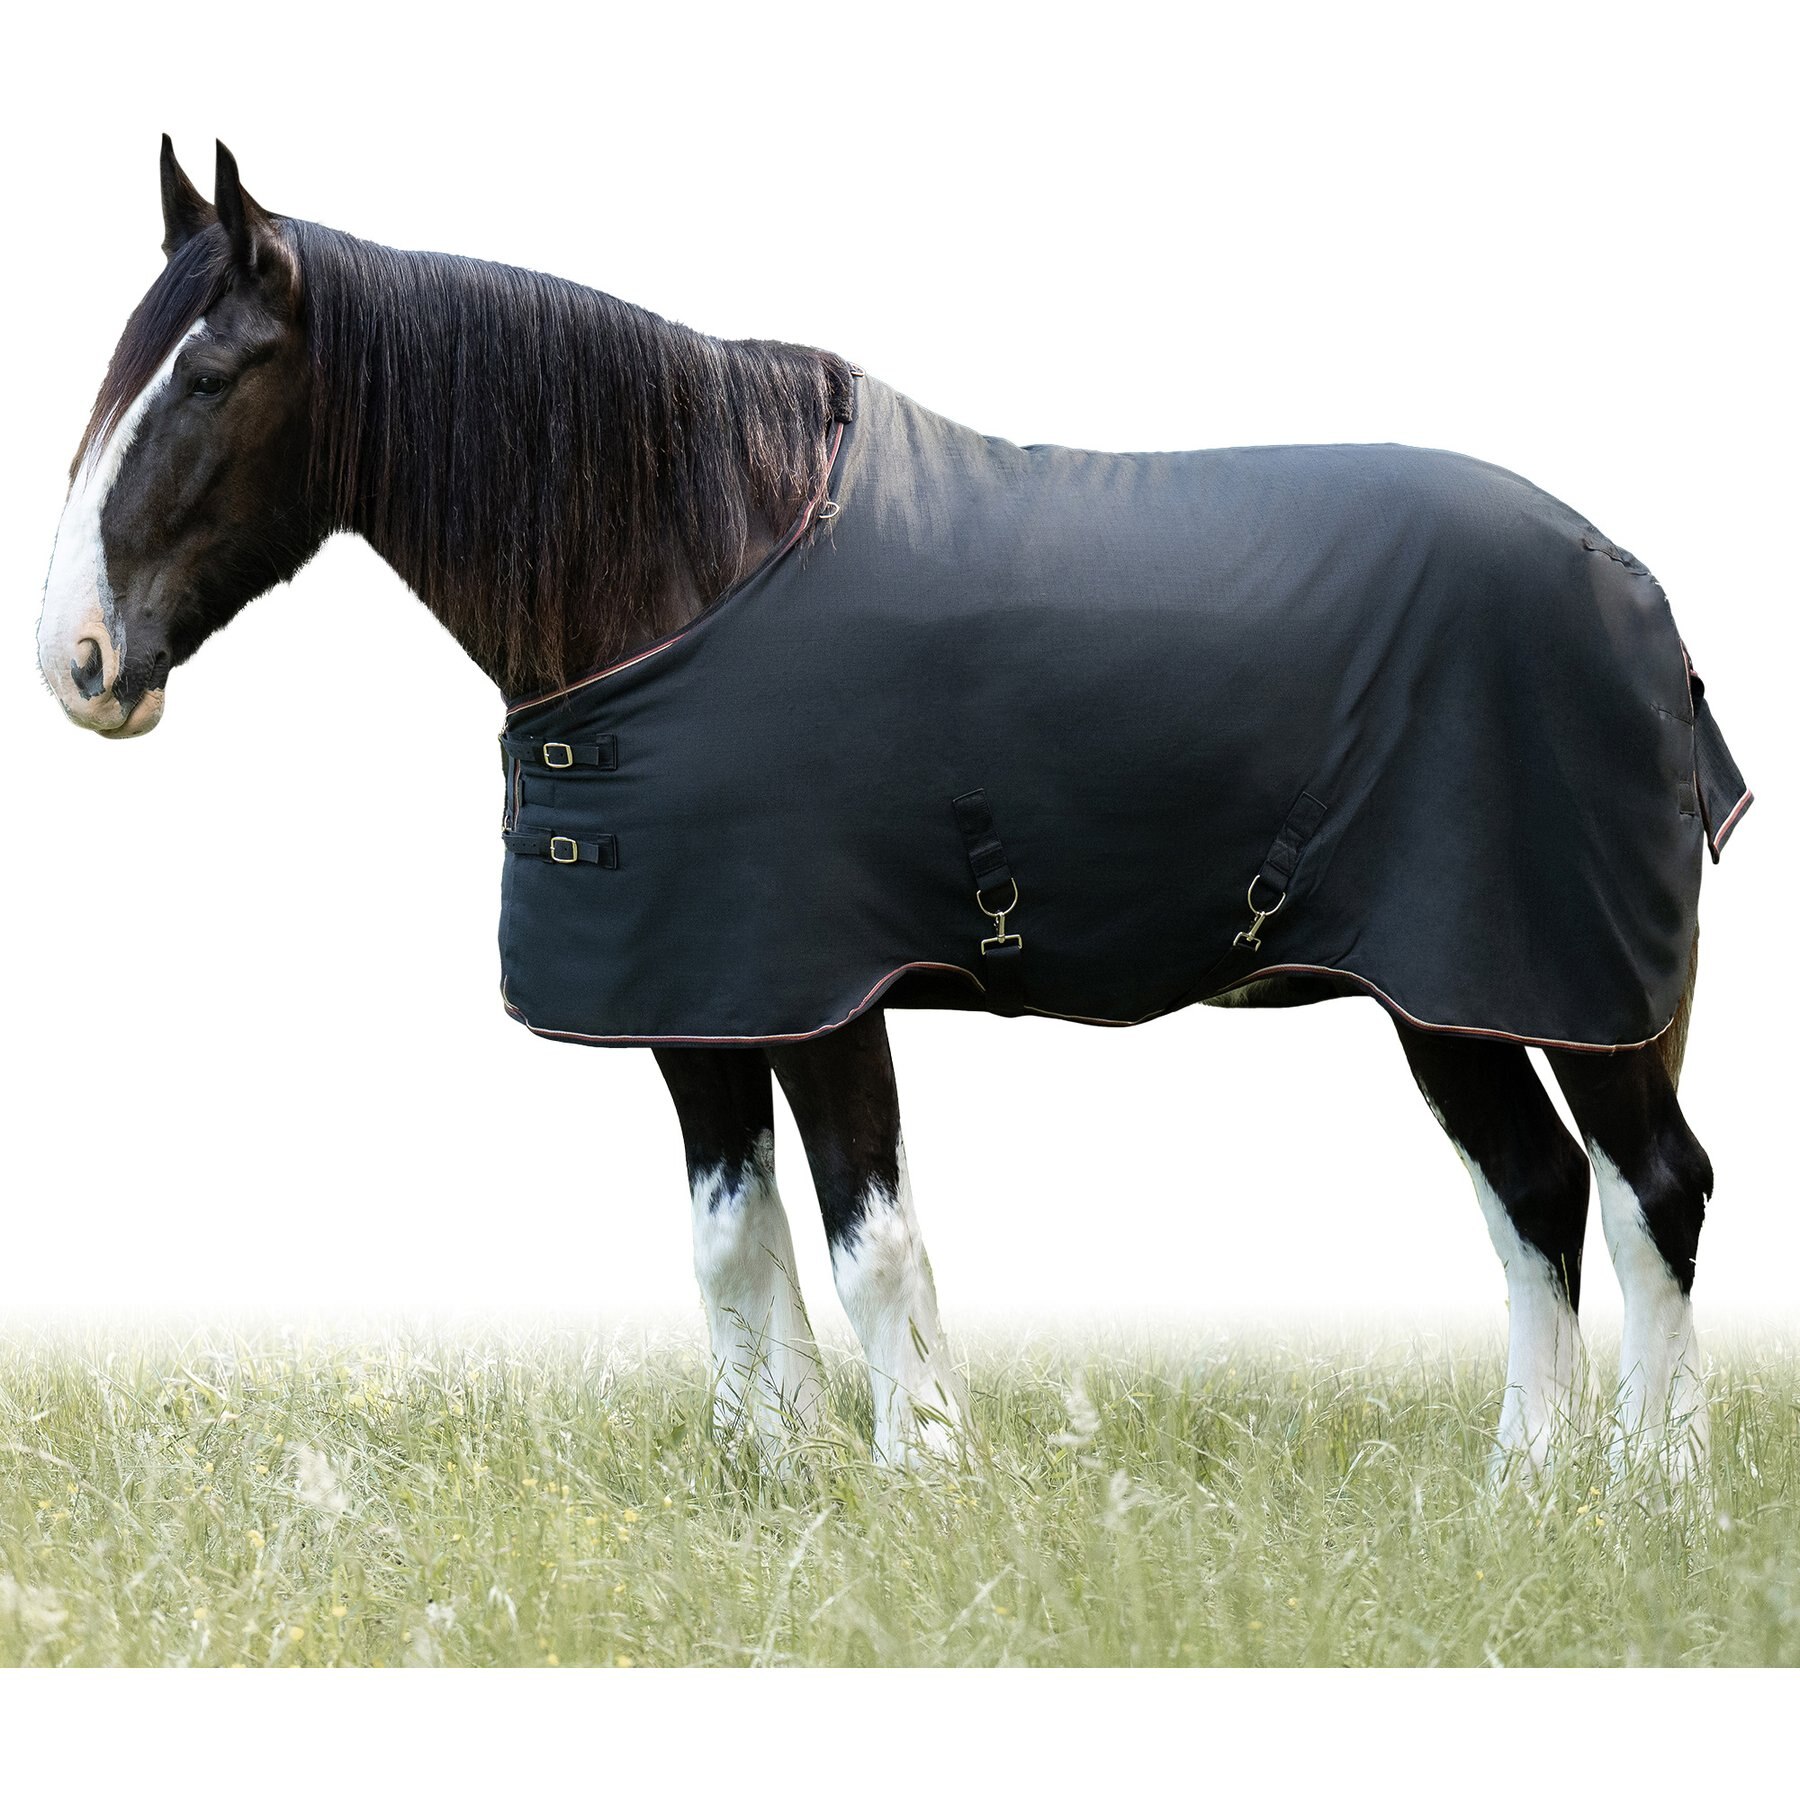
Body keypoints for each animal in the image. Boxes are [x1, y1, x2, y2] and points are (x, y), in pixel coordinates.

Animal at [39, 139, 1747, 1477]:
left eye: (208, 374)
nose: (79, 663)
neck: (699, 554)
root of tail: (1636, 590)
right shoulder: (695, 995)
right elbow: (733, 1241)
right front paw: (774, 1472)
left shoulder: (822, 991)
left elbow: (873, 1243)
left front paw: (922, 1473)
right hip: (1451, 998)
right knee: (1538, 1196)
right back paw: (1524, 1487)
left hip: (1556, 986)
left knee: (1650, 1190)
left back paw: (1654, 1491)